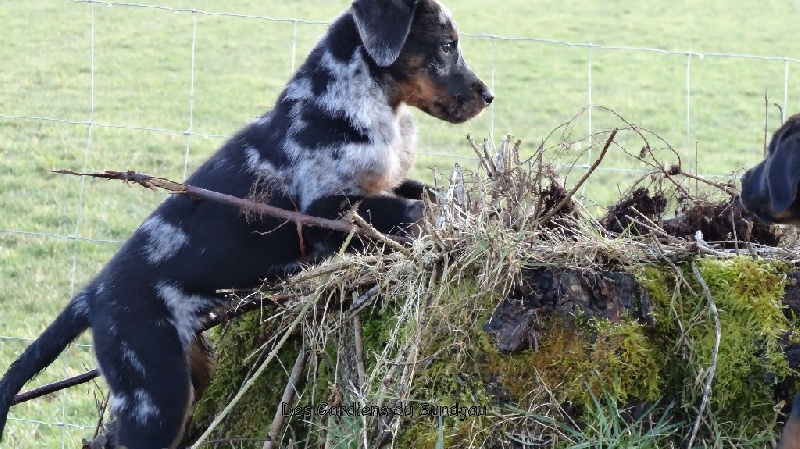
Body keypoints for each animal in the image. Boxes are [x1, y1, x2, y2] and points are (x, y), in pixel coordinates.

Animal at [0, 0, 493, 447]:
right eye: (446, 46)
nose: (488, 96)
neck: (357, 105)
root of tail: (93, 293)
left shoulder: (381, 186)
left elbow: (423, 192)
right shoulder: (323, 213)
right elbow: (408, 211)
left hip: (188, 371)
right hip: (154, 391)